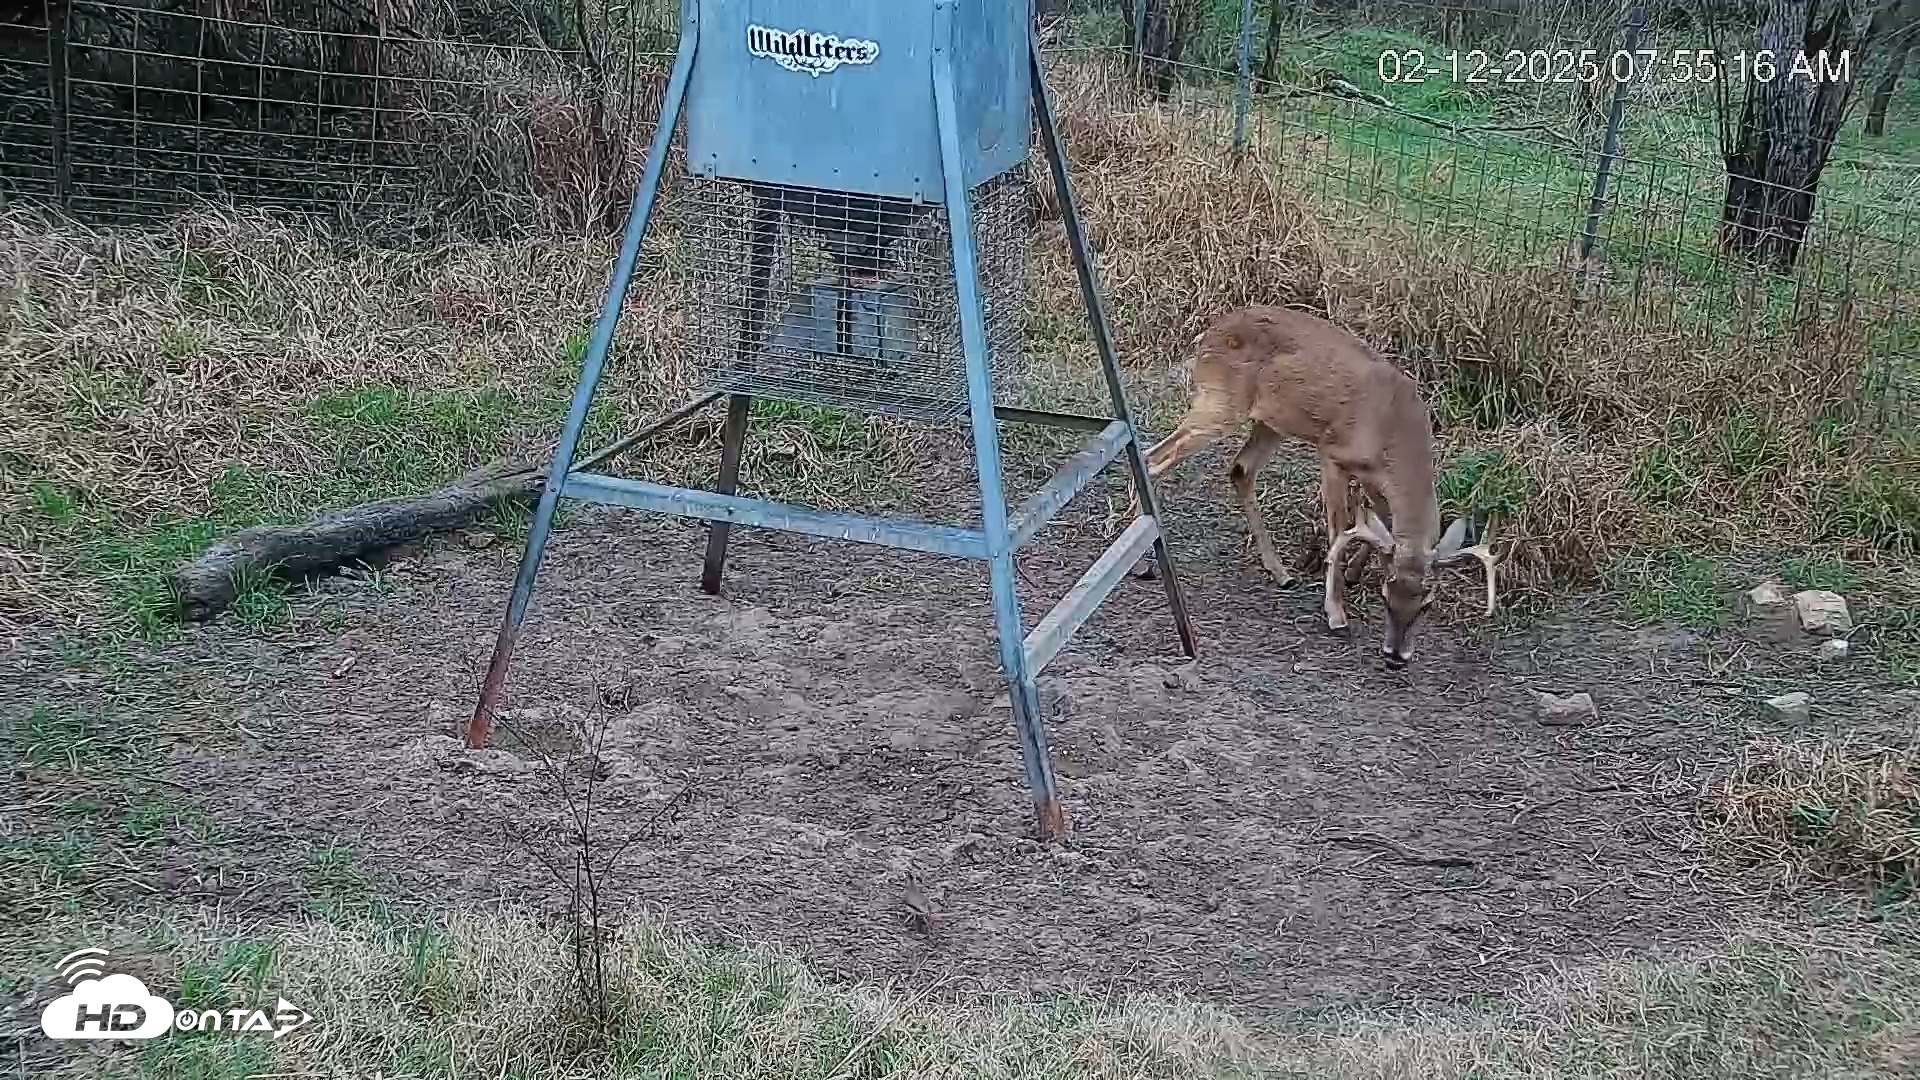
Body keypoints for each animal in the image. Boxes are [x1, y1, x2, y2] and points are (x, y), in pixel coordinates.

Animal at [1121, 303, 1497, 668]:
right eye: (1385, 595)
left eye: (1427, 603)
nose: (1395, 658)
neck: (1394, 433)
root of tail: (1205, 337)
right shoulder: (1332, 454)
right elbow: (1340, 530)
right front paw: (1336, 613)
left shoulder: (1376, 481)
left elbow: (1379, 522)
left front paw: (1355, 572)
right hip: (1220, 403)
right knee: (1152, 458)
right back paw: (1141, 563)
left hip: (1271, 420)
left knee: (1240, 470)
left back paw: (1279, 571)